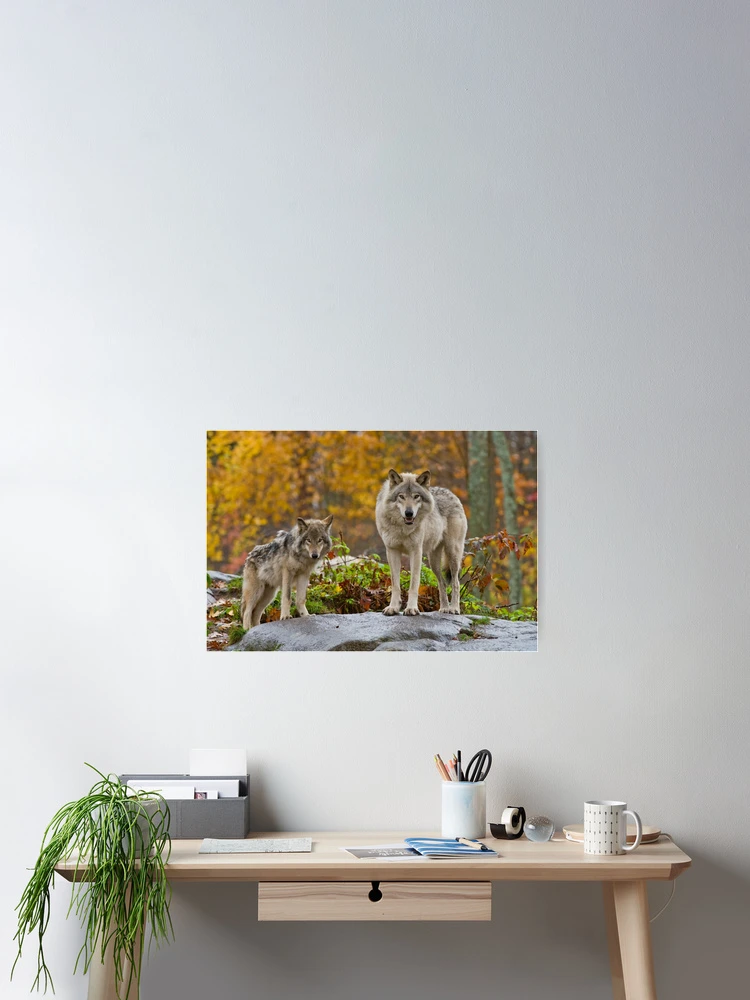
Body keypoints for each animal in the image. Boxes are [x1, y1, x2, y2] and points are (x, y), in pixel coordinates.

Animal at [375, 470, 467, 616]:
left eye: (416, 496)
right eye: (401, 496)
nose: (409, 513)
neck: (403, 528)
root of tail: (451, 493)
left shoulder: (416, 551)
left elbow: (414, 583)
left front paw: (412, 608)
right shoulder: (392, 551)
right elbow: (395, 584)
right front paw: (393, 607)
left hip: (452, 553)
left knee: (455, 583)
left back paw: (454, 608)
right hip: (434, 562)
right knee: (442, 583)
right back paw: (444, 608)